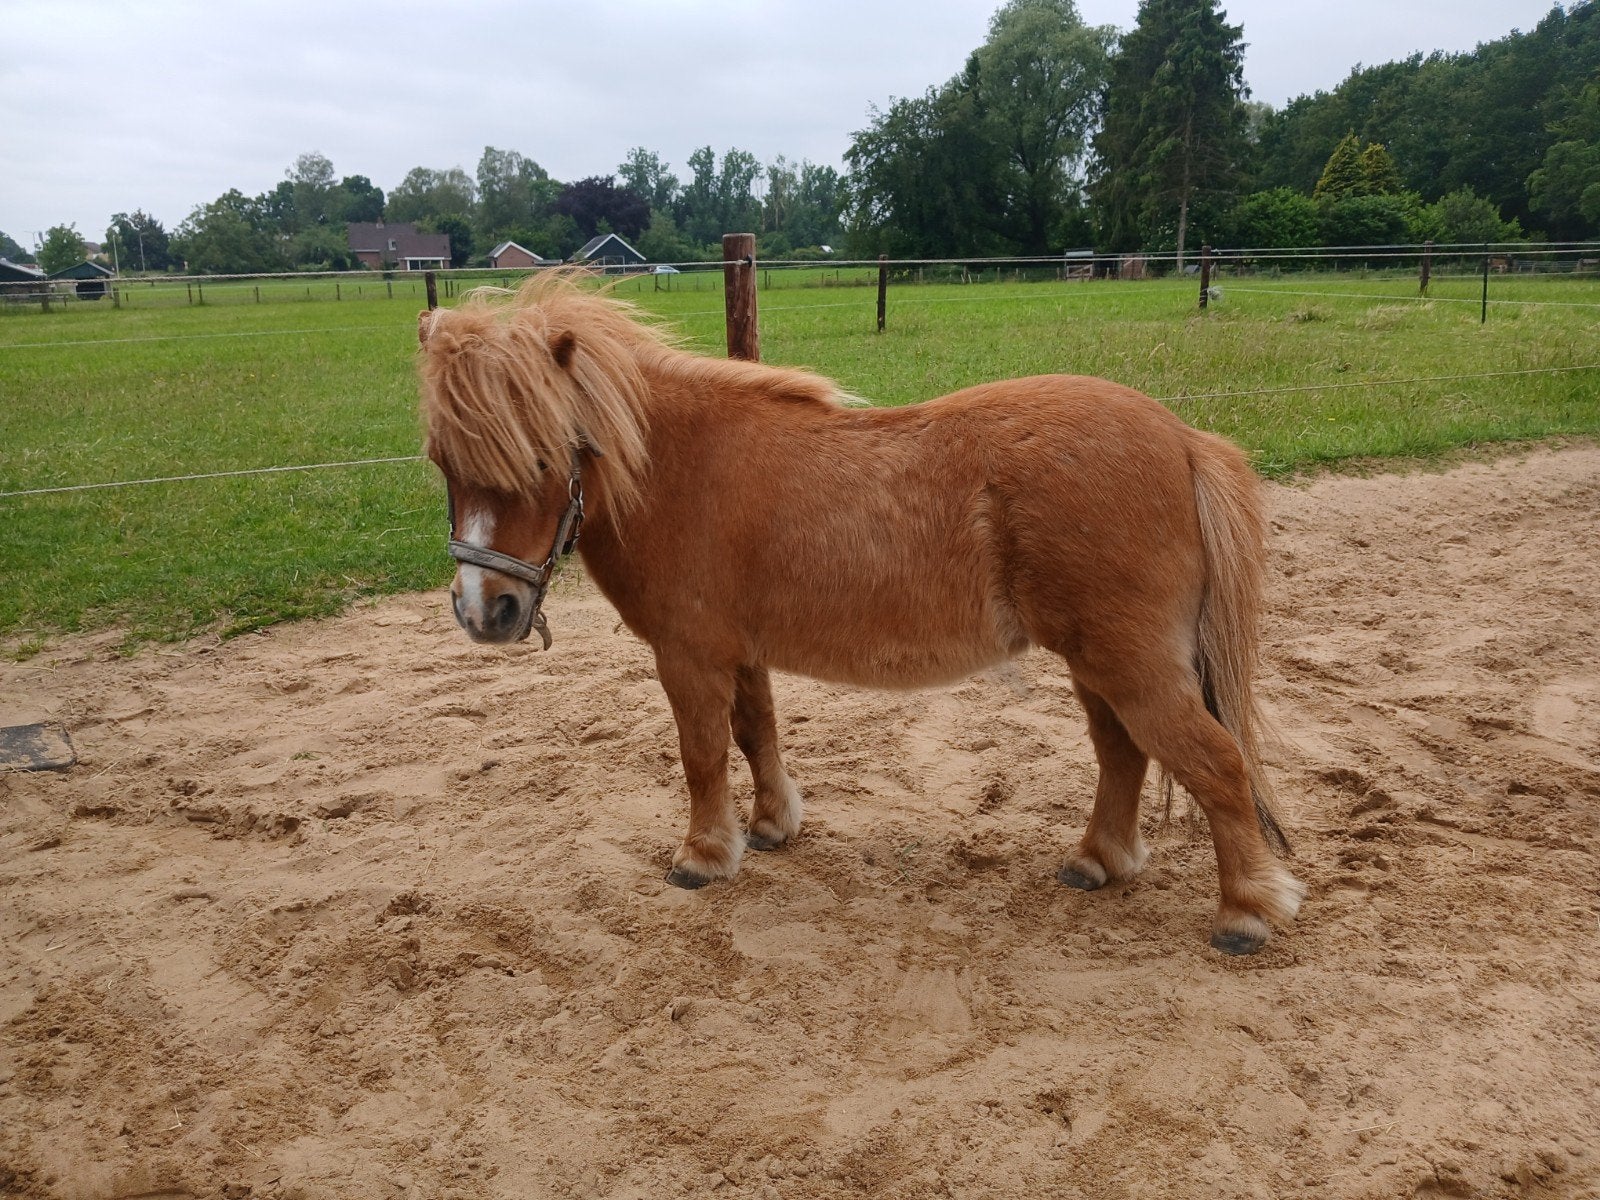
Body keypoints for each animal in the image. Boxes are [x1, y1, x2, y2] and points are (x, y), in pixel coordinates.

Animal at [417, 272, 1305, 955]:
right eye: (440, 461)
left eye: (541, 458)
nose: (485, 611)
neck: (677, 468)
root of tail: (1183, 439)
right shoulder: (743, 650)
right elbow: (756, 734)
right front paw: (772, 825)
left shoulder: (688, 654)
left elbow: (702, 754)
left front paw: (705, 855)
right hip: (1100, 664)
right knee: (1123, 755)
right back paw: (1099, 861)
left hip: (1131, 664)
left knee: (1216, 765)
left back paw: (1244, 912)